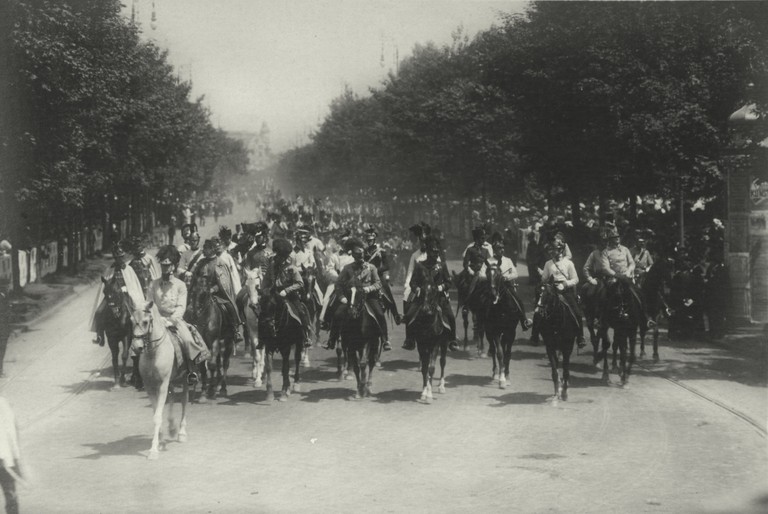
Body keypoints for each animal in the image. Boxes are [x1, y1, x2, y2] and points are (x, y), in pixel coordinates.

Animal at [130, 298, 188, 458]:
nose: (136, 347)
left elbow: (157, 417)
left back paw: (181, 433)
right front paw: (160, 441)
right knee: (173, 397)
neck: (153, 352)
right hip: (172, 380)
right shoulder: (150, 386)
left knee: (184, 400)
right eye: (131, 320)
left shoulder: (162, 385)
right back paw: (172, 427)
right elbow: (156, 413)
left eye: (145, 322)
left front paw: (153, 450)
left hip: (185, 378)